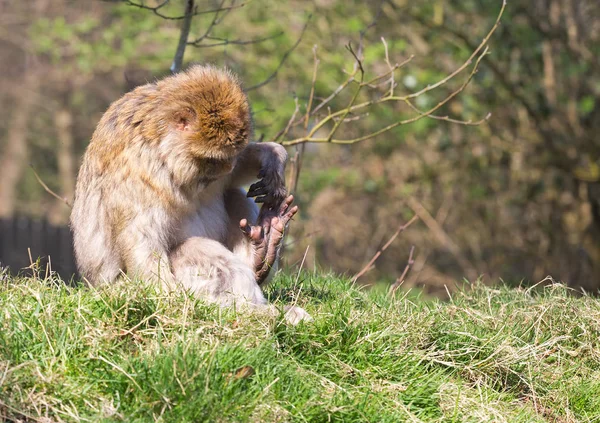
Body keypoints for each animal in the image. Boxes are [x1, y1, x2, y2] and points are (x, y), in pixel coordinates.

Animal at [71, 66, 310, 324]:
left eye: (230, 157)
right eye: (212, 160)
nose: (226, 168)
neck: (162, 149)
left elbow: (232, 179)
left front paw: (273, 156)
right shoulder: (137, 169)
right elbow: (141, 239)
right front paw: (172, 302)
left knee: (232, 194)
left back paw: (262, 253)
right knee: (193, 248)